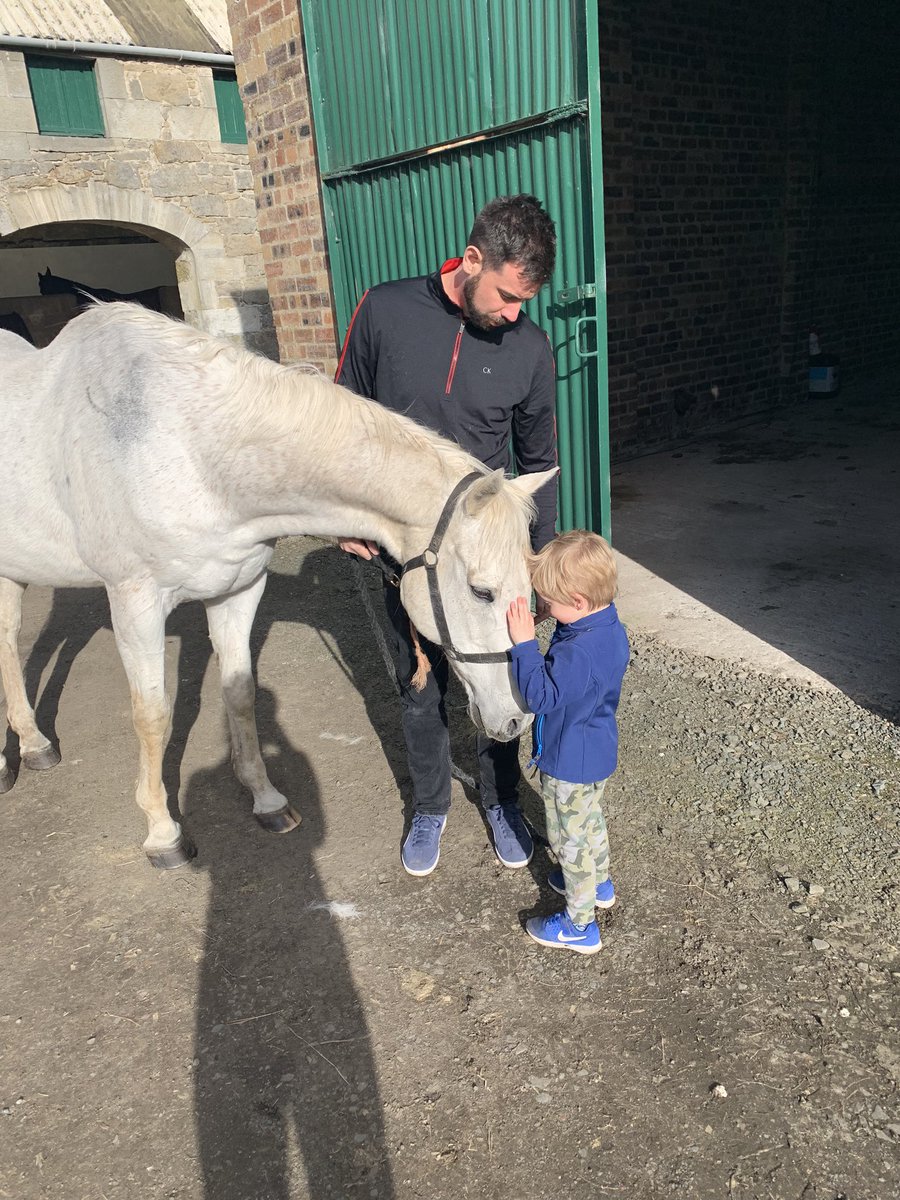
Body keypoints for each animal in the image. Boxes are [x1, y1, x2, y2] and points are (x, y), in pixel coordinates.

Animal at [0, 303, 554, 868]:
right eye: (482, 591)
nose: (517, 720)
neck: (191, 450)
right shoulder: (134, 601)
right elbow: (152, 716)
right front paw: (163, 834)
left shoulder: (238, 589)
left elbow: (240, 693)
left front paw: (266, 800)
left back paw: (33, 745)